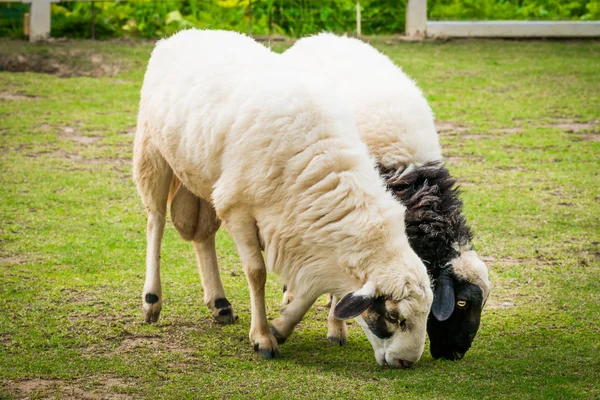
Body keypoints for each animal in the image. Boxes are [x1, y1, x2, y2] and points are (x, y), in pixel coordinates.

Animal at [132, 29, 432, 368]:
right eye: (393, 316)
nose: (406, 362)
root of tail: (184, 34)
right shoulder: (237, 208)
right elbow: (257, 273)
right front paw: (263, 338)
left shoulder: (302, 233)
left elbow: (310, 288)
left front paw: (282, 327)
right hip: (152, 152)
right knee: (155, 222)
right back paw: (152, 300)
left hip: (202, 178)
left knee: (203, 236)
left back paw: (220, 303)